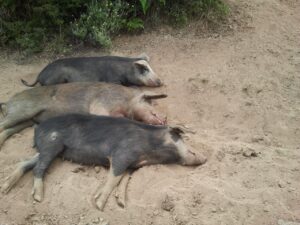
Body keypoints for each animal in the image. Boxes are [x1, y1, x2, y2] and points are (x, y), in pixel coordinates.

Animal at [0, 82, 168, 148]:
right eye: (150, 104)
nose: (165, 119)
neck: (126, 102)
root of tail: (8, 102)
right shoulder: (101, 104)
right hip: (22, 111)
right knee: (3, 124)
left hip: (27, 120)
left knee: (8, 130)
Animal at [1, 114, 206, 211]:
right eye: (181, 138)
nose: (205, 158)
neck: (150, 150)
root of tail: (38, 128)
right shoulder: (121, 155)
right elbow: (114, 178)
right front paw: (99, 205)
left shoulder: (131, 165)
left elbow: (123, 180)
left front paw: (121, 203)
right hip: (52, 143)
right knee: (38, 168)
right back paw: (38, 197)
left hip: (52, 149)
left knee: (25, 163)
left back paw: (5, 187)